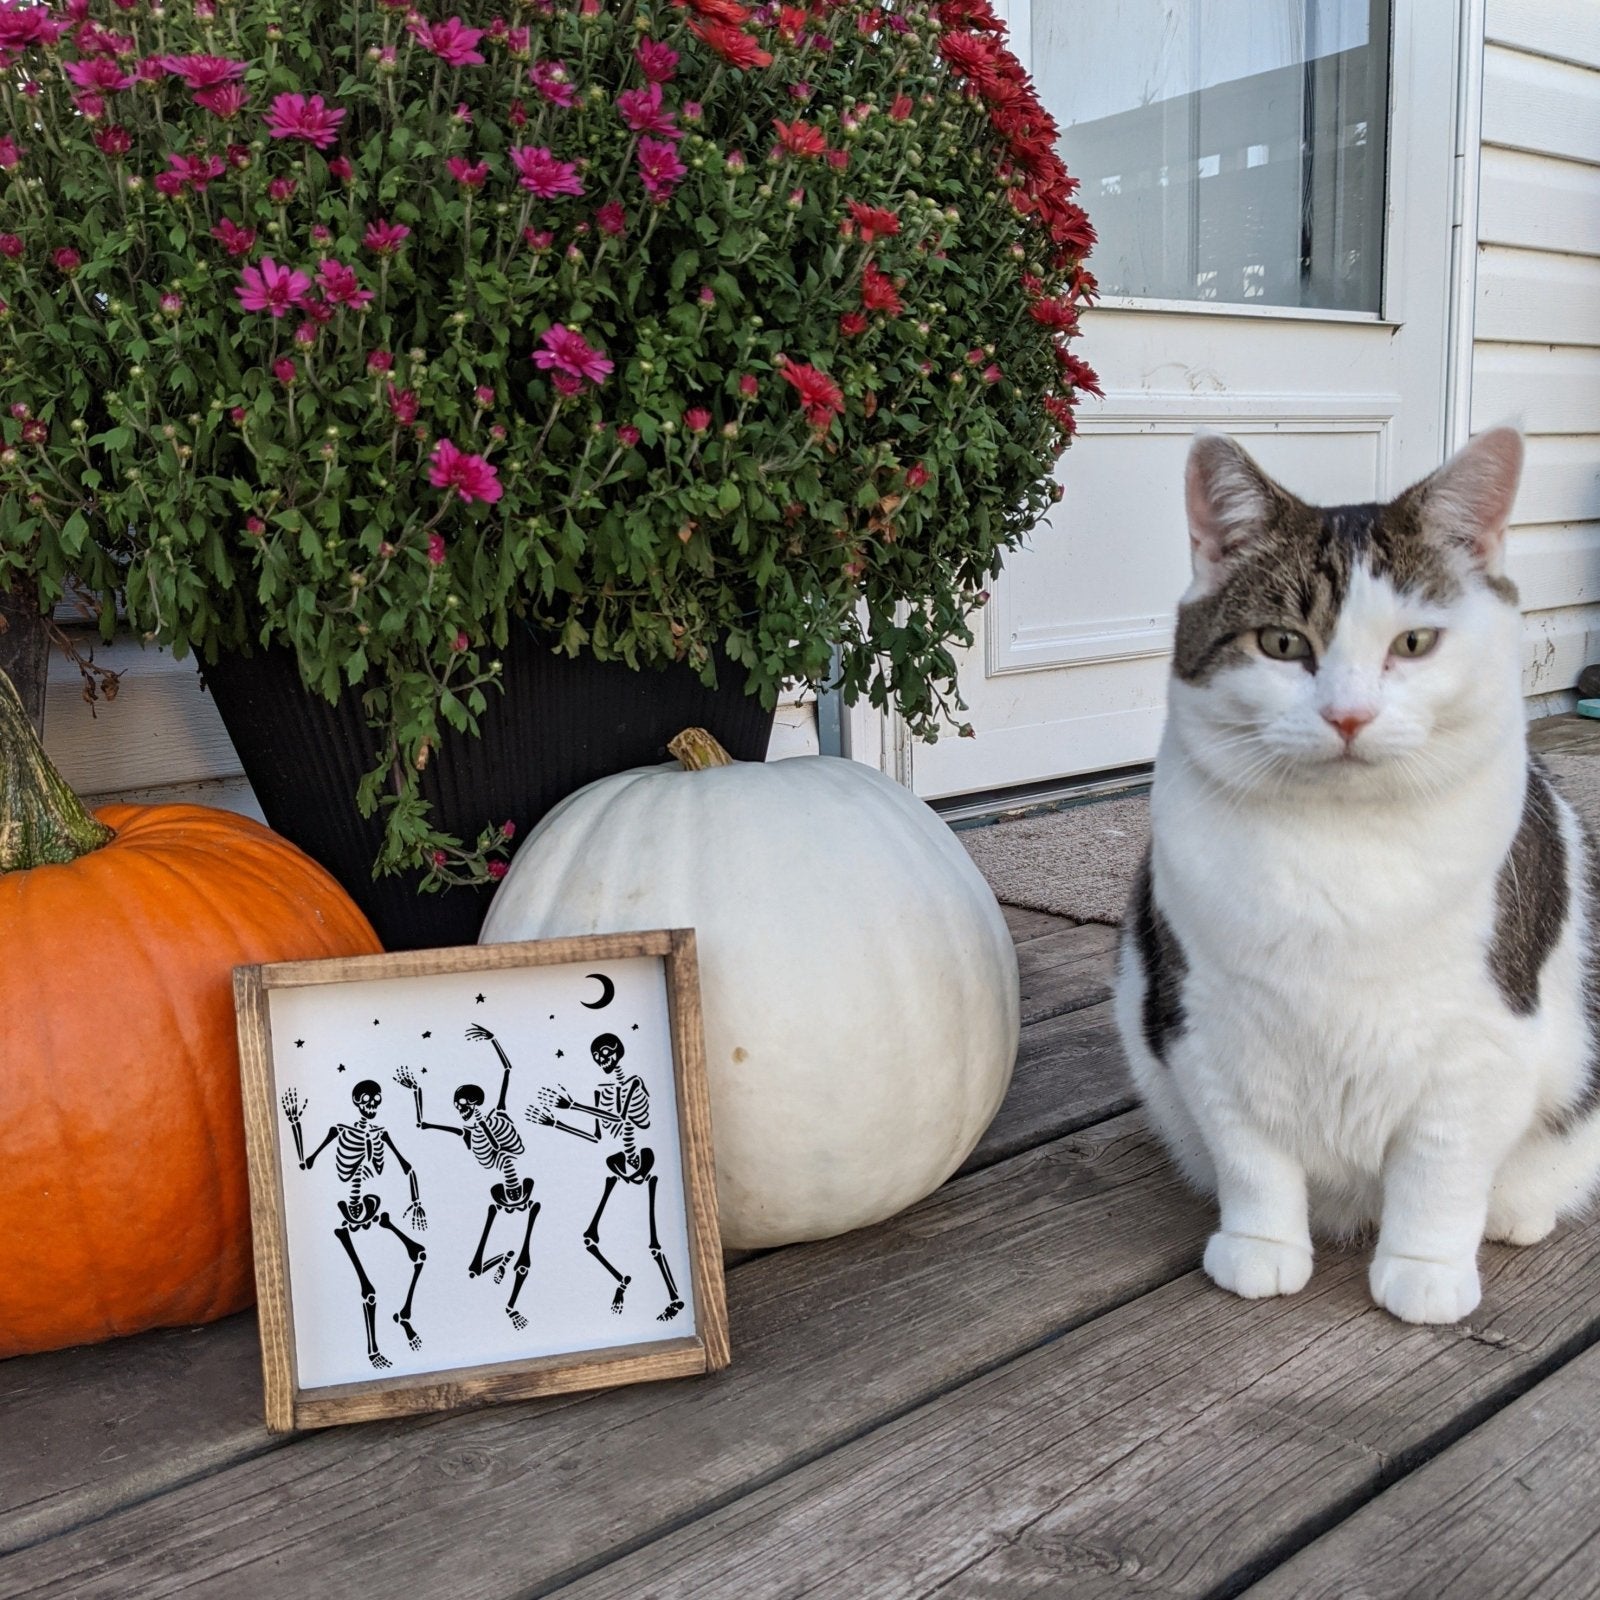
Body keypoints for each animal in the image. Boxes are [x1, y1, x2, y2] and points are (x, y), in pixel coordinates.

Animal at [1120, 425, 1600, 1324]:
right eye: (1282, 643)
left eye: (1414, 643)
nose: (1348, 715)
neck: (1340, 846)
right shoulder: (1208, 1026)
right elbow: (1251, 1156)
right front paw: (1261, 1246)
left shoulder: (1479, 1045)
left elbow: (1441, 1168)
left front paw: (1425, 1270)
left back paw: (1516, 1212)